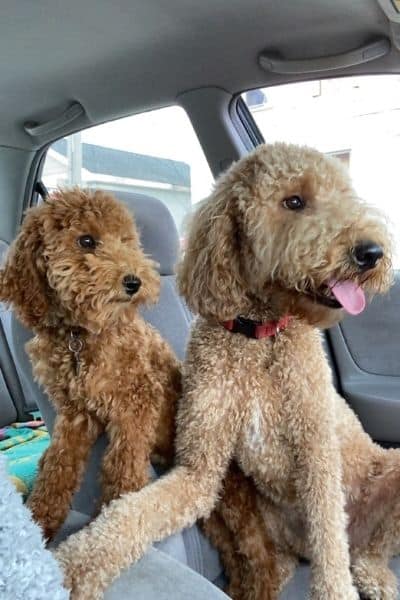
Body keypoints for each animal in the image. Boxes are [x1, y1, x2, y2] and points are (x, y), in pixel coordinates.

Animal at [54, 145, 398, 600]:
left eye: (344, 193)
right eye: (293, 201)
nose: (371, 253)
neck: (258, 337)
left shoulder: (317, 454)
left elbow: (330, 543)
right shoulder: (200, 465)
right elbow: (133, 512)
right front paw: (73, 563)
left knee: (365, 551)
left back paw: (376, 578)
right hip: (268, 520)